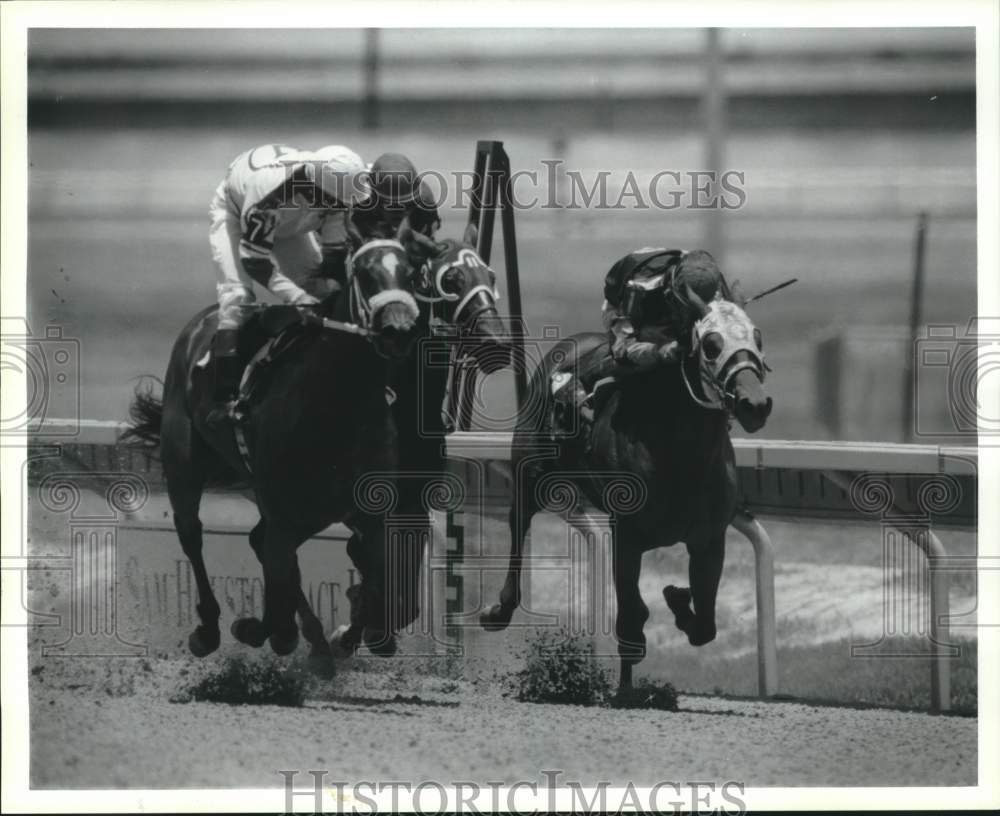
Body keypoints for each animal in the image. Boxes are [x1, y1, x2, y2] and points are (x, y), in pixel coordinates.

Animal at [125, 239, 422, 660]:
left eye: (411, 273)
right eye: (365, 274)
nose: (400, 329)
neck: (338, 406)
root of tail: (201, 322)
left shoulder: (369, 515)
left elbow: (374, 580)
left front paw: (346, 637)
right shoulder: (286, 516)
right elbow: (280, 601)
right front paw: (262, 630)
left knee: (257, 542)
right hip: (183, 462)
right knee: (192, 534)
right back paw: (209, 629)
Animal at [476, 278, 772, 684]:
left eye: (757, 338)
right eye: (711, 344)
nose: (754, 404)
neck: (681, 454)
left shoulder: (709, 539)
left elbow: (705, 625)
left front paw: (678, 598)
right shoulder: (627, 537)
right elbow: (631, 621)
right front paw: (625, 687)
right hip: (530, 476)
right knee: (518, 525)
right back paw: (499, 610)